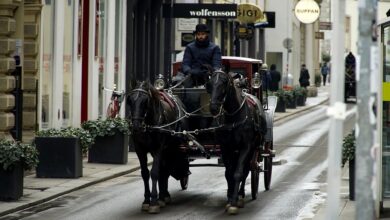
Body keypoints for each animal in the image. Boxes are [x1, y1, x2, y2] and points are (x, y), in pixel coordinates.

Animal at [128, 81, 187, 213]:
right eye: (130, 100)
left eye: (145, 101)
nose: (136, 126)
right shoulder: (140, 150)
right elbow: (145, 173)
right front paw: (146, 200)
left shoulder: (158, 149)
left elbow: (155, 172)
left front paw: (154, 201)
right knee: (164, 170)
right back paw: (163, 195)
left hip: (170, 148)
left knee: (165, 169)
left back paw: (163, 196)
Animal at [209, 69, 266, 214]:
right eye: (209, 83)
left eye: (224, 83)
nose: (213, 108)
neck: (233, 116)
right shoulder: (226, 147)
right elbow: (229, 173)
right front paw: (229, 199)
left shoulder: (246, 147)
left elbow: (238, 173)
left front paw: (234, 202)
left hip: (252, 149)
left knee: (246, 170)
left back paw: (240, 195)